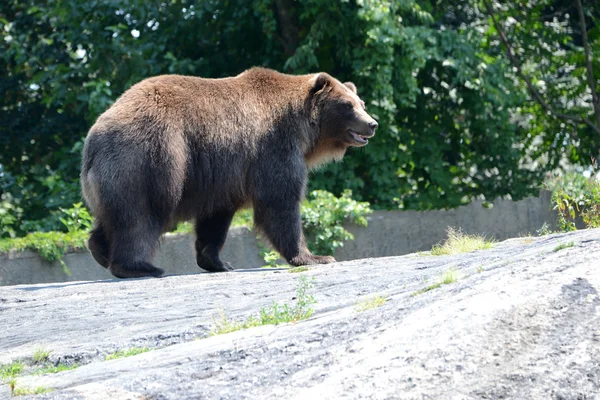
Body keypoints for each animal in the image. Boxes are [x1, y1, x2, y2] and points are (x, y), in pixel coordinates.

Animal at [81, 67, 376, 278]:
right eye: (347, 105)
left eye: (360, 102)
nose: (372, 123)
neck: (304, 129)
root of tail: (94, 137)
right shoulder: (273, 147)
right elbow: (280, 201)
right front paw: (315, 256)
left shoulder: (223, 174)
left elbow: (216, 218)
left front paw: (219, 262)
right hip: (150, 158)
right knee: (140, 215)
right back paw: (140, 267)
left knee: (114, 214)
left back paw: (100, 251)